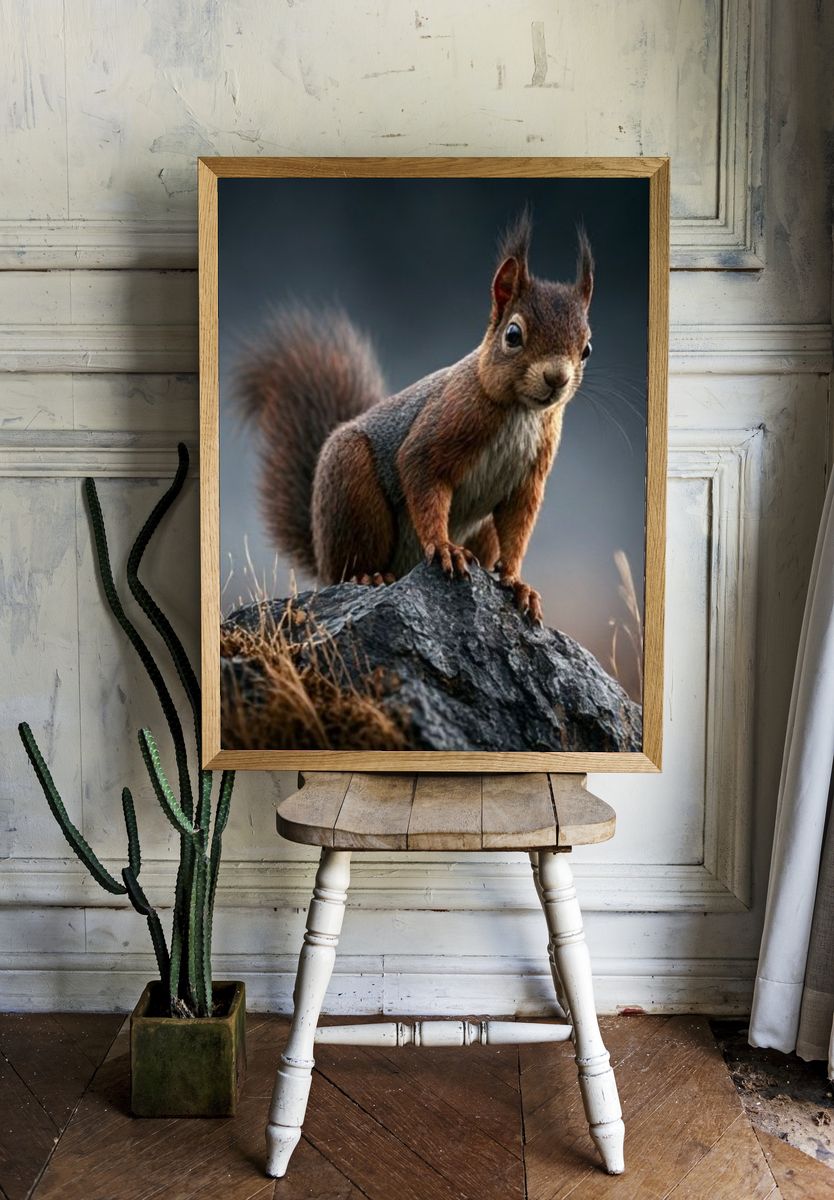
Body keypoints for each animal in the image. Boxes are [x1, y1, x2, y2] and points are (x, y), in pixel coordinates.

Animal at [238, 212, 593, 626]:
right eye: (513, 334)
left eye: (586, 348)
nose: (557, 378)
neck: (521, 412)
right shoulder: (444, 426)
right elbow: (421, 475)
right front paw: (444, 547)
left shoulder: (530, 477)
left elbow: (518, 524)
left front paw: (517, 581)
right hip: (351, 486)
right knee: (352, 563)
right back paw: (370, 576)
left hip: (481, 532)